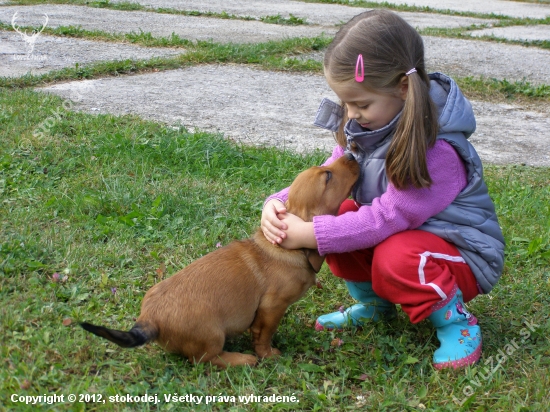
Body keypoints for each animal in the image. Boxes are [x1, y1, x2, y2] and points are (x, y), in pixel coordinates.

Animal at [80, 153, 360, 368]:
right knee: (206, 359)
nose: (351, 153)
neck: (286, 248)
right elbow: (263, 335)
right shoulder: (272, 307)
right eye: (327, 176)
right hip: (212, 334)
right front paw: (268, 355)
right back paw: (241, 359)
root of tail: (149, 320)